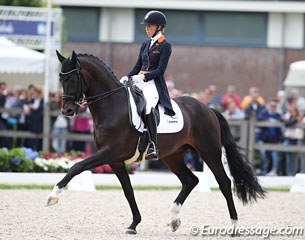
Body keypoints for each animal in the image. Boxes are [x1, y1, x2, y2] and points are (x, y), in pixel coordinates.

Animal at [47, 51, 264, 234]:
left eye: (72, 78)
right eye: (60, 79)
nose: (67, 111)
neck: (112, 106)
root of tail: (208, 108)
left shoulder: (109, 153)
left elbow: (77, 166)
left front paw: (53, 195)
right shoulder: (115, 160)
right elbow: (128, 190)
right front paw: (134, 224)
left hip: (209, 151)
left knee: (224, 182)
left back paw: (233, 225)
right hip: (172, 156)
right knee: (190, 180)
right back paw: (174, 219)